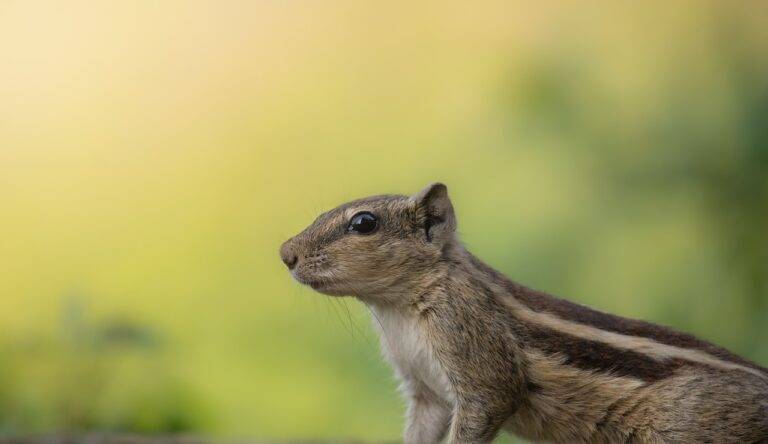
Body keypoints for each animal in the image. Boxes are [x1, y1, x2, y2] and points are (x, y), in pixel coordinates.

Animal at [280, 182, 768, 442]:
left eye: (364, 223)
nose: (285, 253)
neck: (398, 309)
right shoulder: (425, 392)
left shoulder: (479, 361)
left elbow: (488, 402)